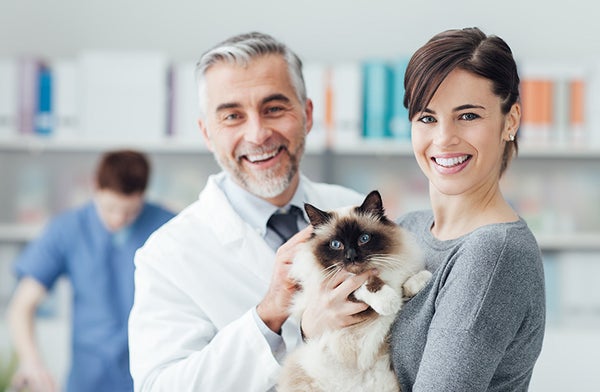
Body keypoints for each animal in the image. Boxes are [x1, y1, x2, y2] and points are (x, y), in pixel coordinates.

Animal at [278, 191, 432, 392]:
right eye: (336, 244)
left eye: (364, 239)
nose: (351, 257)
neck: (381, 270)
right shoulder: (339, 285)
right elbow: (368, 284)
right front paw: (388, 302)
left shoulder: (398, 275)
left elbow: (404, 284)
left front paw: (423, 280)